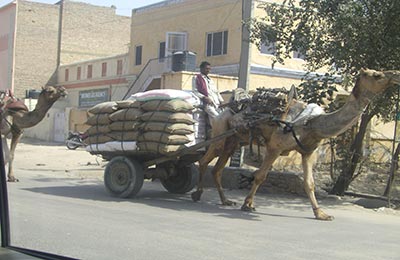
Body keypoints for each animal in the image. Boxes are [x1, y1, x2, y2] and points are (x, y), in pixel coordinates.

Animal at [191, 68, 400, 220]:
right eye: (377, 75)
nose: (396, 74)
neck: (311, 123)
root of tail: (220, 109)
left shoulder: (308, 152)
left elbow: (309, 183)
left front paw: (321, 214)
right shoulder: (275, 147)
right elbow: (260, 176)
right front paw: (247, 204)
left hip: (234, 141)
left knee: (216, 169)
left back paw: (225, 200)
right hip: (220, 134)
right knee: (204, 161)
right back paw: (197, 194)